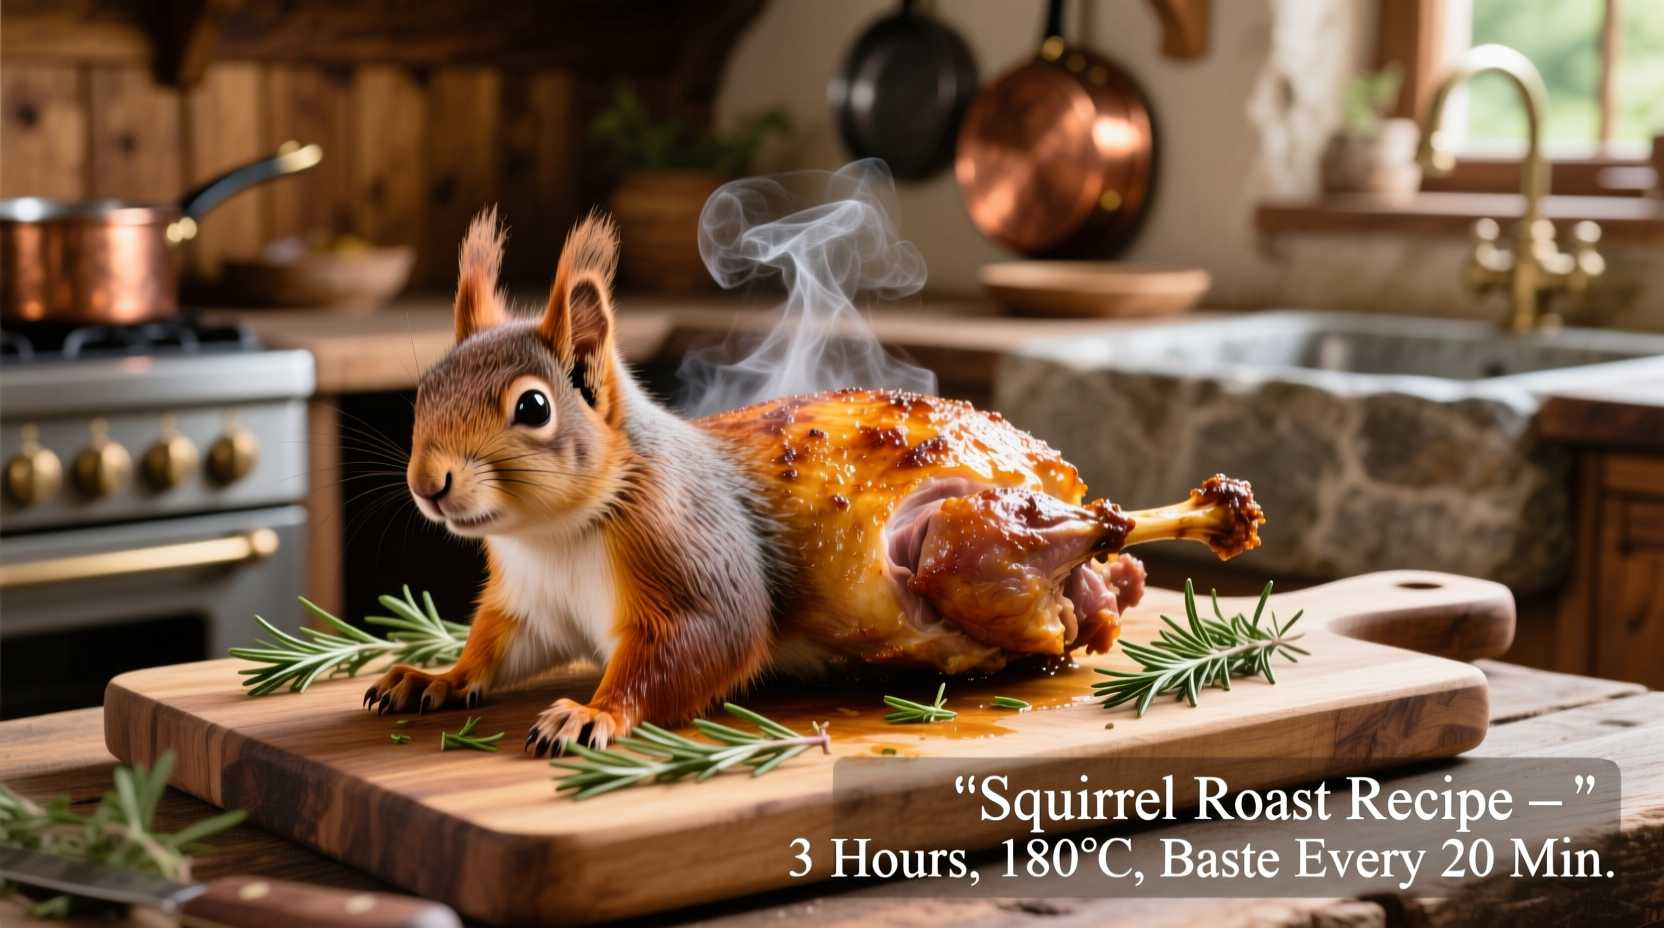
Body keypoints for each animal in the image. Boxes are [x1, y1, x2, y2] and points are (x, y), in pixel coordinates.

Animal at [364, 209, 1264, 756]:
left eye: (533, 407)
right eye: (425, 388)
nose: (429, 482)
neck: (555, 536)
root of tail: (1060, 483)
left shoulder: (691, 551)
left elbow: (707, 642)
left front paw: (592, 712)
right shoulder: (530, 603)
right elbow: (496, 649)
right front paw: (432, 677)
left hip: (955, 544)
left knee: (1103, 529)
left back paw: (1189, 514)